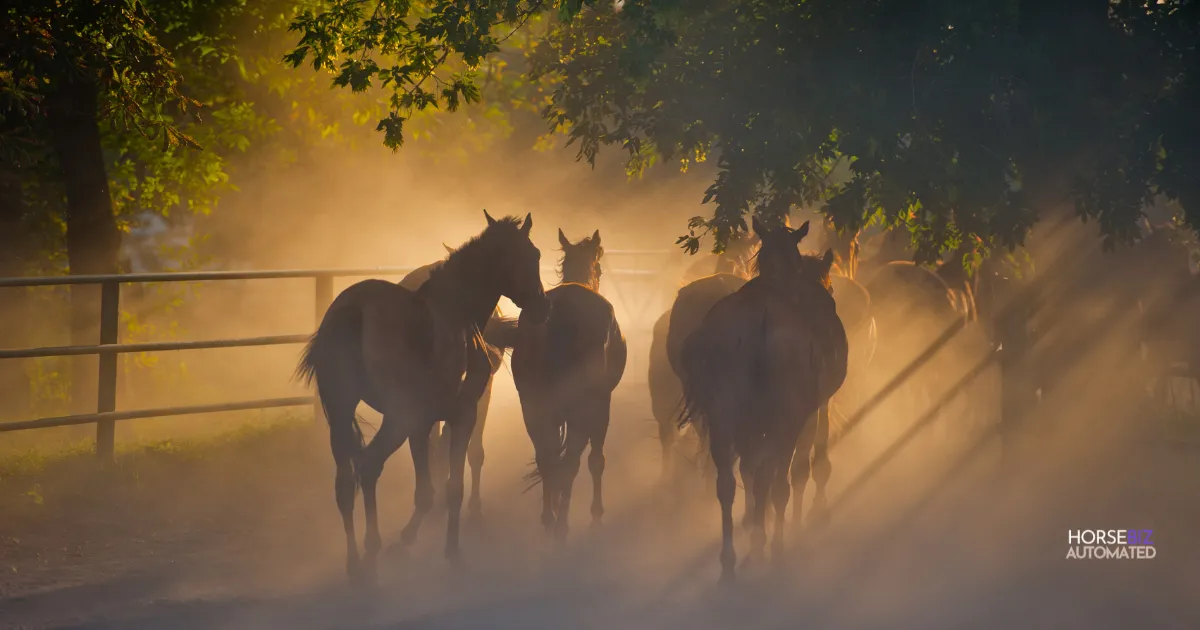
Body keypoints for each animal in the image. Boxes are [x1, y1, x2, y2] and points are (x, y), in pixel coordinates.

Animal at [508, 228, 628, 537]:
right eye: (599, 266)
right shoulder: (602, 405)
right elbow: (596, 461)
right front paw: (596, 513)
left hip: (532, 406)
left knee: (547, 458)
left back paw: (550, 519)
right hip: (581, 408)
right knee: (570, 461)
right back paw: (561, 523)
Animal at [681, 217, 849, 580]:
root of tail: (760, 324)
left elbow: (752, 474)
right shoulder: (810, 412)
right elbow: (799, 471)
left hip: (725, 419)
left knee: (729, 483)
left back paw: (730, 561)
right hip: (783, 422)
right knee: (777, 482)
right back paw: (774, 549)